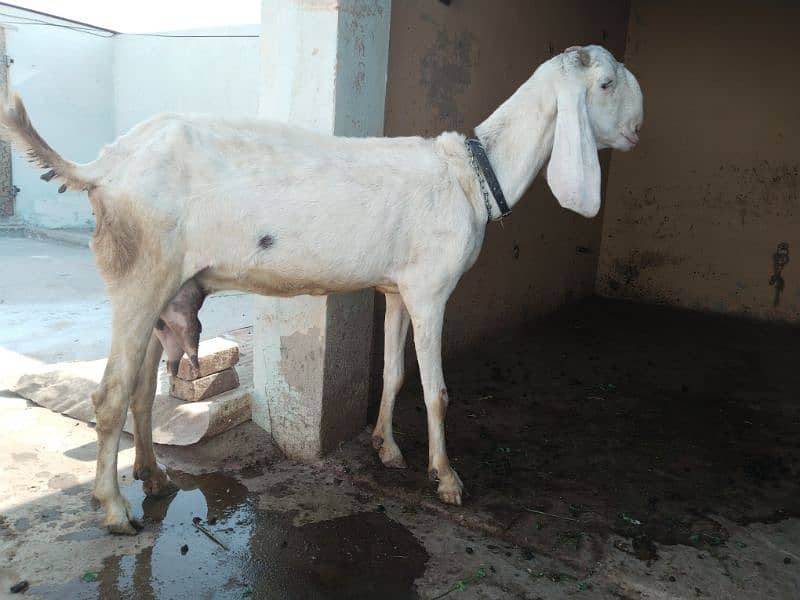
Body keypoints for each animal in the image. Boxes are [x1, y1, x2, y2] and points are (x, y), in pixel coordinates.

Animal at [0, 45, 640, 536]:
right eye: (606, 84)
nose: (636, 132)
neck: (470, 175)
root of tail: (105, 166)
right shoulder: (432, 289)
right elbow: (436, 391)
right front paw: (447, 479)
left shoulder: (399, 288)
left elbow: (394, 374)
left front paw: (385, 446)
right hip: (139, 273)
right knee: (110, 395)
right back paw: (113, 511)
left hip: (167, 287)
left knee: (138, 391)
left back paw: (154, 479)